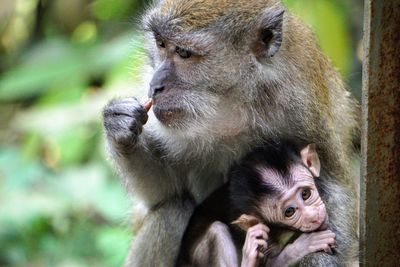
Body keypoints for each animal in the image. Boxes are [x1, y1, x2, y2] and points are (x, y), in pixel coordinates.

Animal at [103, 0, 360, 267]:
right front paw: (121, 127)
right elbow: (163, 191)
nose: (155, 86)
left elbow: (334, 184)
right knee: (174, 208)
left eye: (184, 53)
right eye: (161, 44)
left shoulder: (303, 102)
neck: (234, 102)